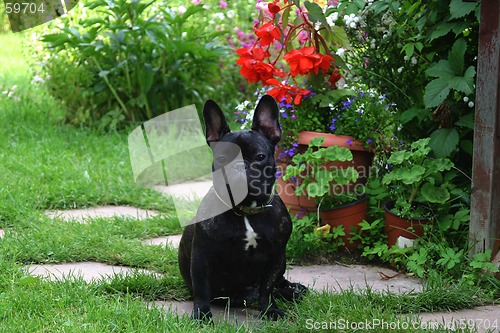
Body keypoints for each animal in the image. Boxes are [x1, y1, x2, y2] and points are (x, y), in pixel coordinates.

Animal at [180, 93, 304, 320]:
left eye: (260, 157)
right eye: (221, 158)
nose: (239, 166)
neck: (246, 210)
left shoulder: (276, 255)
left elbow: (267, 287)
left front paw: (270, 310)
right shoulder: (201, 255)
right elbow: (201, 288)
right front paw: (202, 314)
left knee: (278, 284)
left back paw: (293, 290)